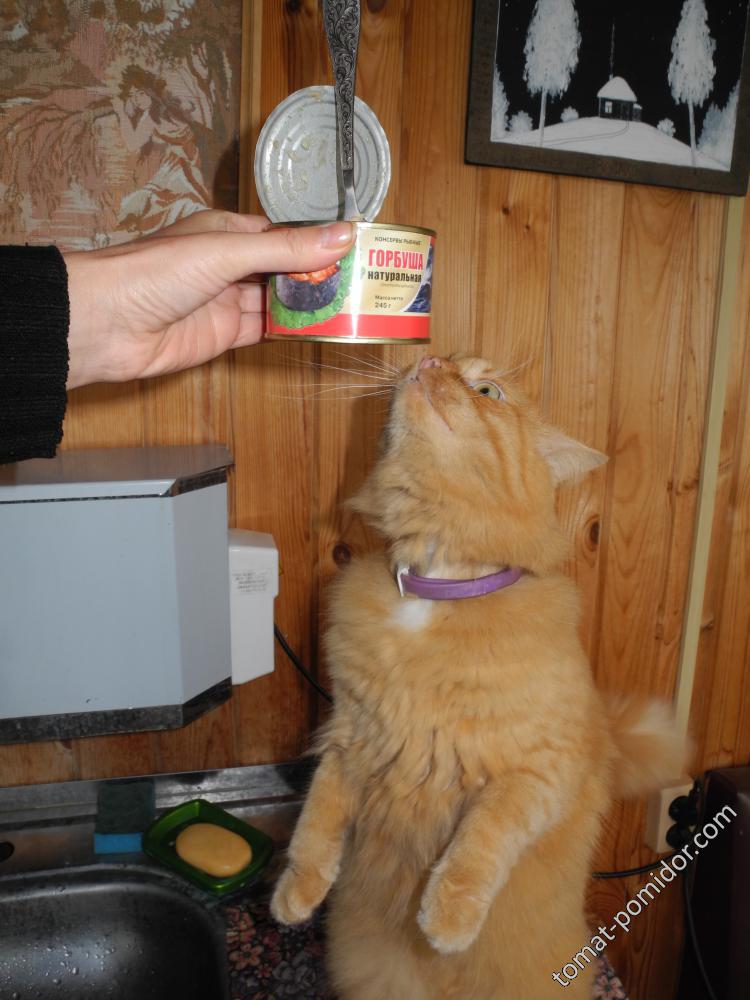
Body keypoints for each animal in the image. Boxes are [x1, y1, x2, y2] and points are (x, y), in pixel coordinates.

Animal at [270, 353, 688, 1000]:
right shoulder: (350, 739)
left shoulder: (537, 771)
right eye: (441, 361)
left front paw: (447, 916)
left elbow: (481, 842)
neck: (436, 585)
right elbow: (314, 824)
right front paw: (296, 893)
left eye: (487, 390)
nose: (425, 360)